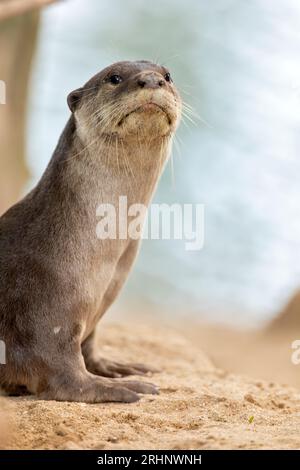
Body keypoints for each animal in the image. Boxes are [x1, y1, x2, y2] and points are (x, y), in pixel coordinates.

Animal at [0, 59, 182, 404]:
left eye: (167, 75)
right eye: (115, 78)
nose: (152, 80)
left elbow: (90, 346)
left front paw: (117, 368)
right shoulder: (42, 316)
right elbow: (66, 378)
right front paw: (121, 388)